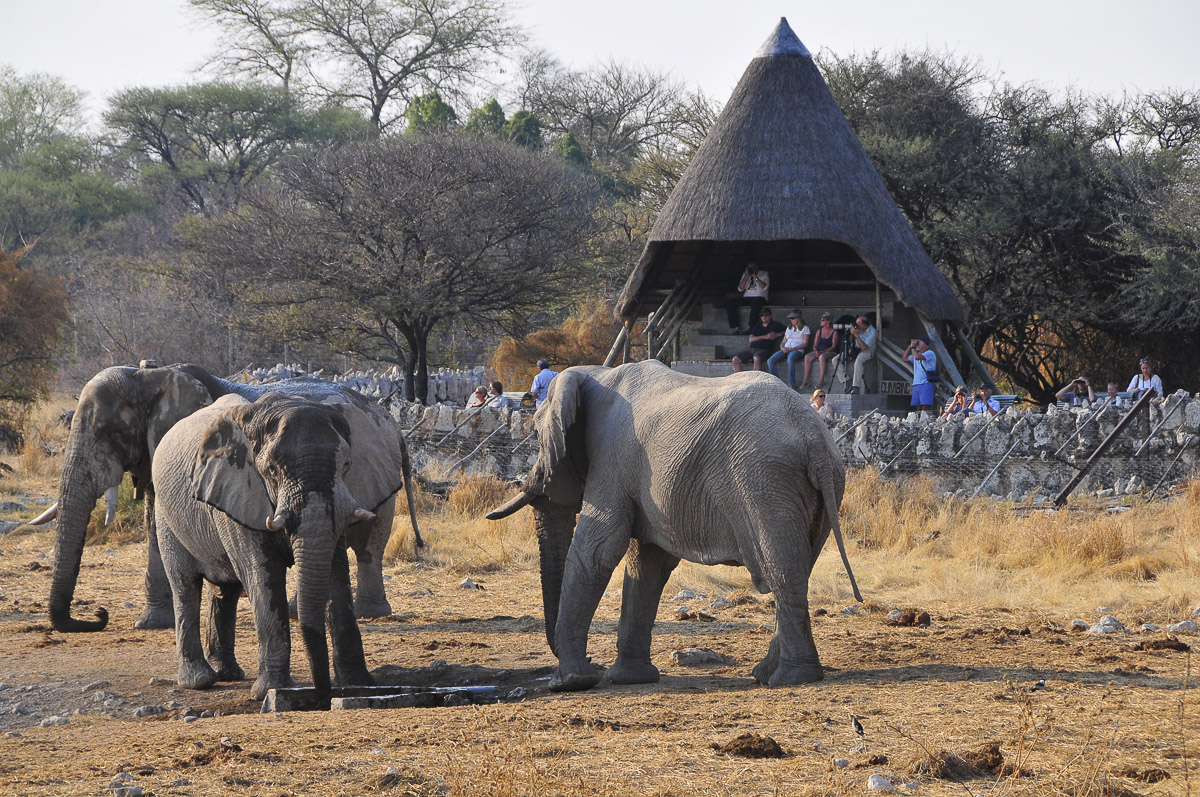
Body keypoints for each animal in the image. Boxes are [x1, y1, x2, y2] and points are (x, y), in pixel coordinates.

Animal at [32, 362, 422, 633]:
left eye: (108, 432)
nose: (98, 614)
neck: (153, 376)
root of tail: (390, 419)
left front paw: (154, 622)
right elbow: (155, 514)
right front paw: (152, 623)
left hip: (371, 466)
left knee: (368, 542)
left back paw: (361, 612)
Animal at [153, 393, 376, 698]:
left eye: (346, 466)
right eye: (271, 470)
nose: (323, 694)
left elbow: (336, 573)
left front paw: (358, 683)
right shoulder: (238, 493)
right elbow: (261, 575)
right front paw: (270, 691)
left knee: (225, 591)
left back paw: (228, 673)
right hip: (165, 515)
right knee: (185, 585)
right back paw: (199, 681)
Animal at [486, 360, 861, 692]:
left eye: (536, 436)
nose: (595, 661)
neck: (595, 373)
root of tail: (815, 440)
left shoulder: (611, 460)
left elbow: (597, 551)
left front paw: (570, 683)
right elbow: (648, 563)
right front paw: (629, 679)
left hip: (764, 482)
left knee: (781, 567)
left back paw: (791, 679)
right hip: (819, 486)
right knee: (798, 568)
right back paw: (767, 675)